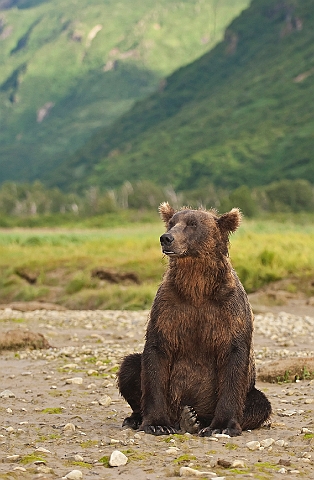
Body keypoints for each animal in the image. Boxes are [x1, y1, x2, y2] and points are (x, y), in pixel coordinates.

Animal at [119, 202, 272, 436]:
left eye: (192, 224)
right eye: (172, 223)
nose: (166, 238)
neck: (196, 288)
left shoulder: (229, 309)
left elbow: (233, 357)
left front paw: (222, 426)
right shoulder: (168, 307)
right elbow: (155, 354)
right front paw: (156, 423)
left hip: (248, 392)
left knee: (260, 403)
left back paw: (195, 420)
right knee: (130, 366)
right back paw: (144, 418)